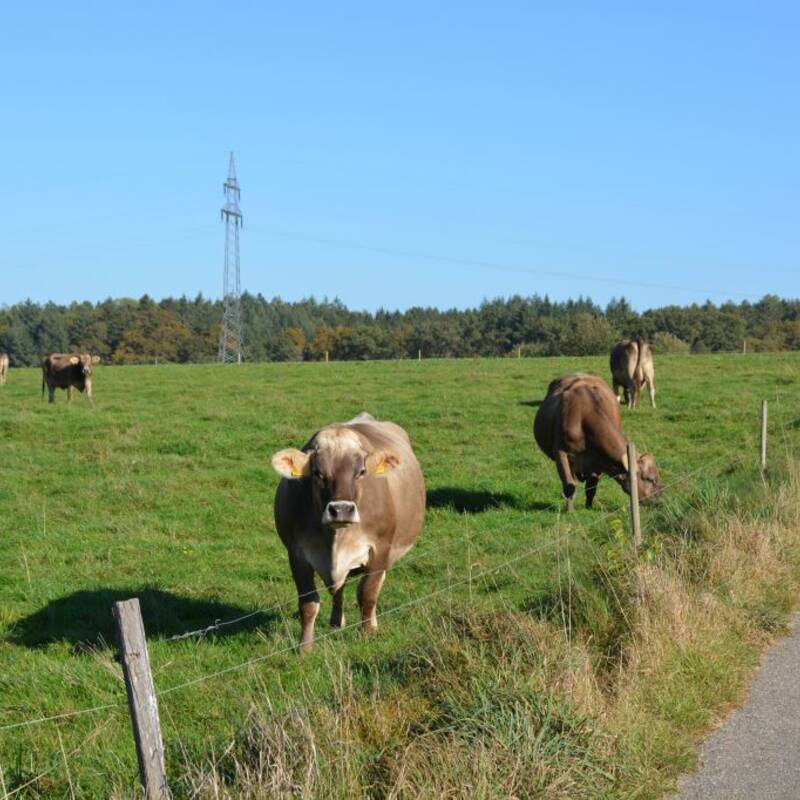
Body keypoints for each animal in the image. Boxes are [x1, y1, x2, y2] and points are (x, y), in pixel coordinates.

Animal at [271, 412, 426, 652]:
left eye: (360, 472)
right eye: (318, 473)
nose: (341, 509)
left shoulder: (379, 548)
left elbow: (368, 594)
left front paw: (366, 634)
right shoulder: (296, 553)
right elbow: (308, 603)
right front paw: (305, 647)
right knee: (339, 588)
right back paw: (336, 622)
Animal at [534, 373, 661, 512]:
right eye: (650, 479)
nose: (659, 500)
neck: (584, 414)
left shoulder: (600, 460)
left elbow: (591, 487)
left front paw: (588, 507)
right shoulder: (560, 452)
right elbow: (569, 485)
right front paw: (570, 511)